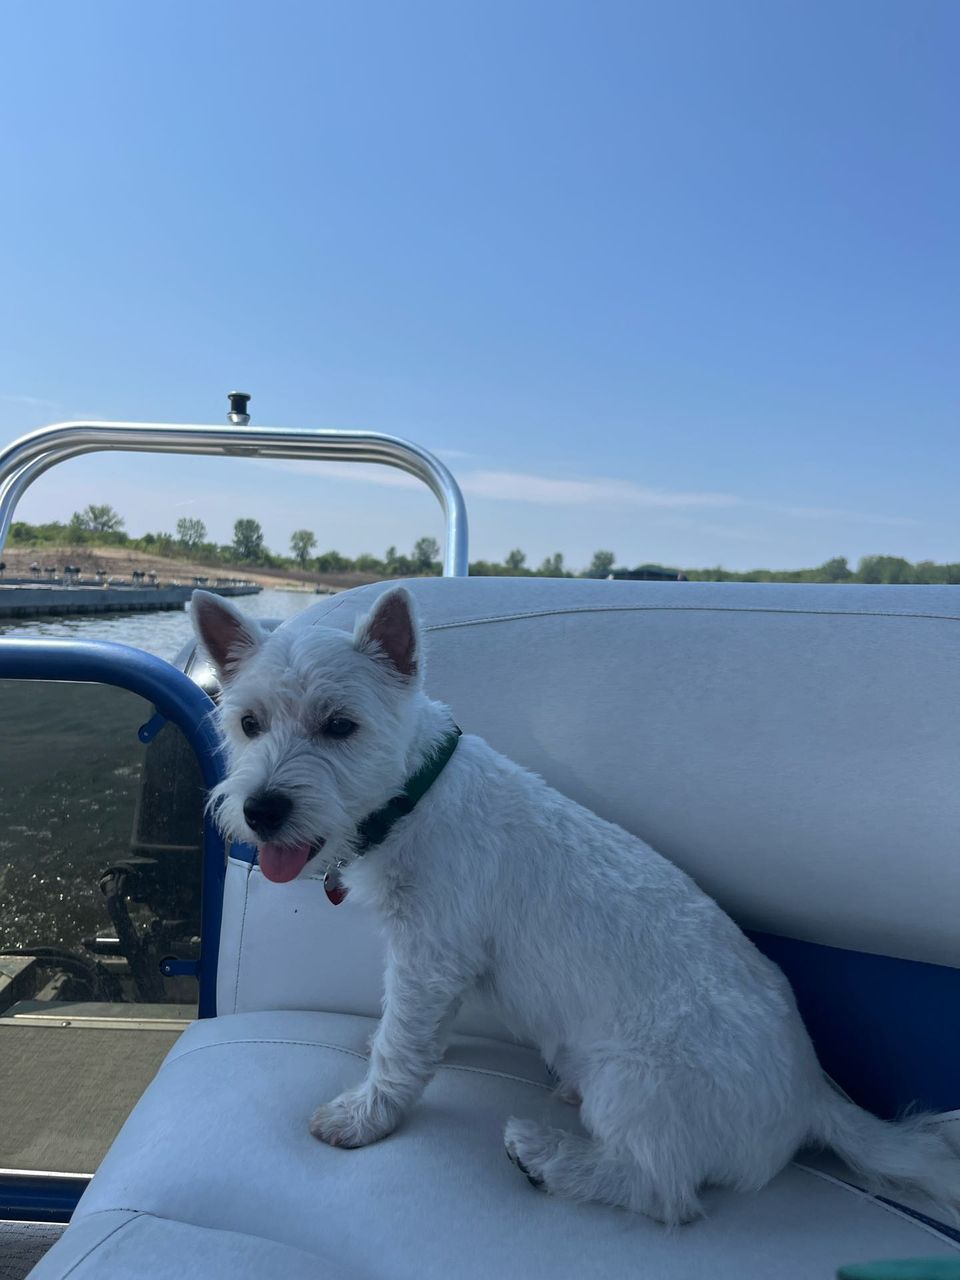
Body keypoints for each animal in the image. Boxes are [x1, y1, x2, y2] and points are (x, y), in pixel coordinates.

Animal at [191, 586, 960, 1224]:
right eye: (249, 722)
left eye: (340, 726)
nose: (262, 811)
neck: (416, 797)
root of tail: (811, 1098)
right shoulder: (432, 964)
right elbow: (405, 1032)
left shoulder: (431, 956)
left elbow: (404, 1048)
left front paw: (364, 1116)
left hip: (640, 1082)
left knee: (663, 1189)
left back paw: (546, 1156)